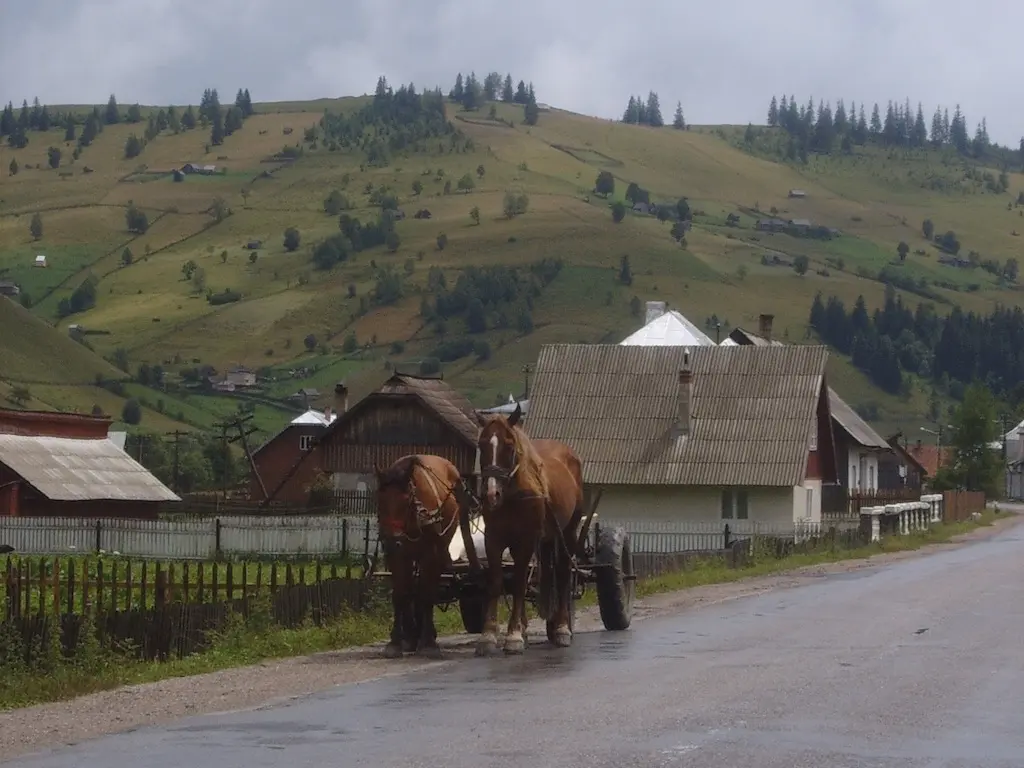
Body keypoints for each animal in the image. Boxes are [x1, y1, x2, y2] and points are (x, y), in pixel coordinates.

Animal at [374, 456, 477, 663]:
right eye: (380, 500)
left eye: (406, 501)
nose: (391, 542)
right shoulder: (398, 556)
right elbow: (401, 594)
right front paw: (396, 642)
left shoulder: (431, 555)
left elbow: (427, 595)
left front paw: (428, 643)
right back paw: (412, 636)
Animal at [473, 405, 581, 659]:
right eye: (481, 445)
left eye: (509, 445)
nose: (491, 494)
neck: (512, 495)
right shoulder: (494, 538)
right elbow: (497, 582)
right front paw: (488, 635)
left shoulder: (525, 540)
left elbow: (520, 584)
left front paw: (513, 636)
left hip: (568, 533)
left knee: (563, 574)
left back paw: (562, 628)